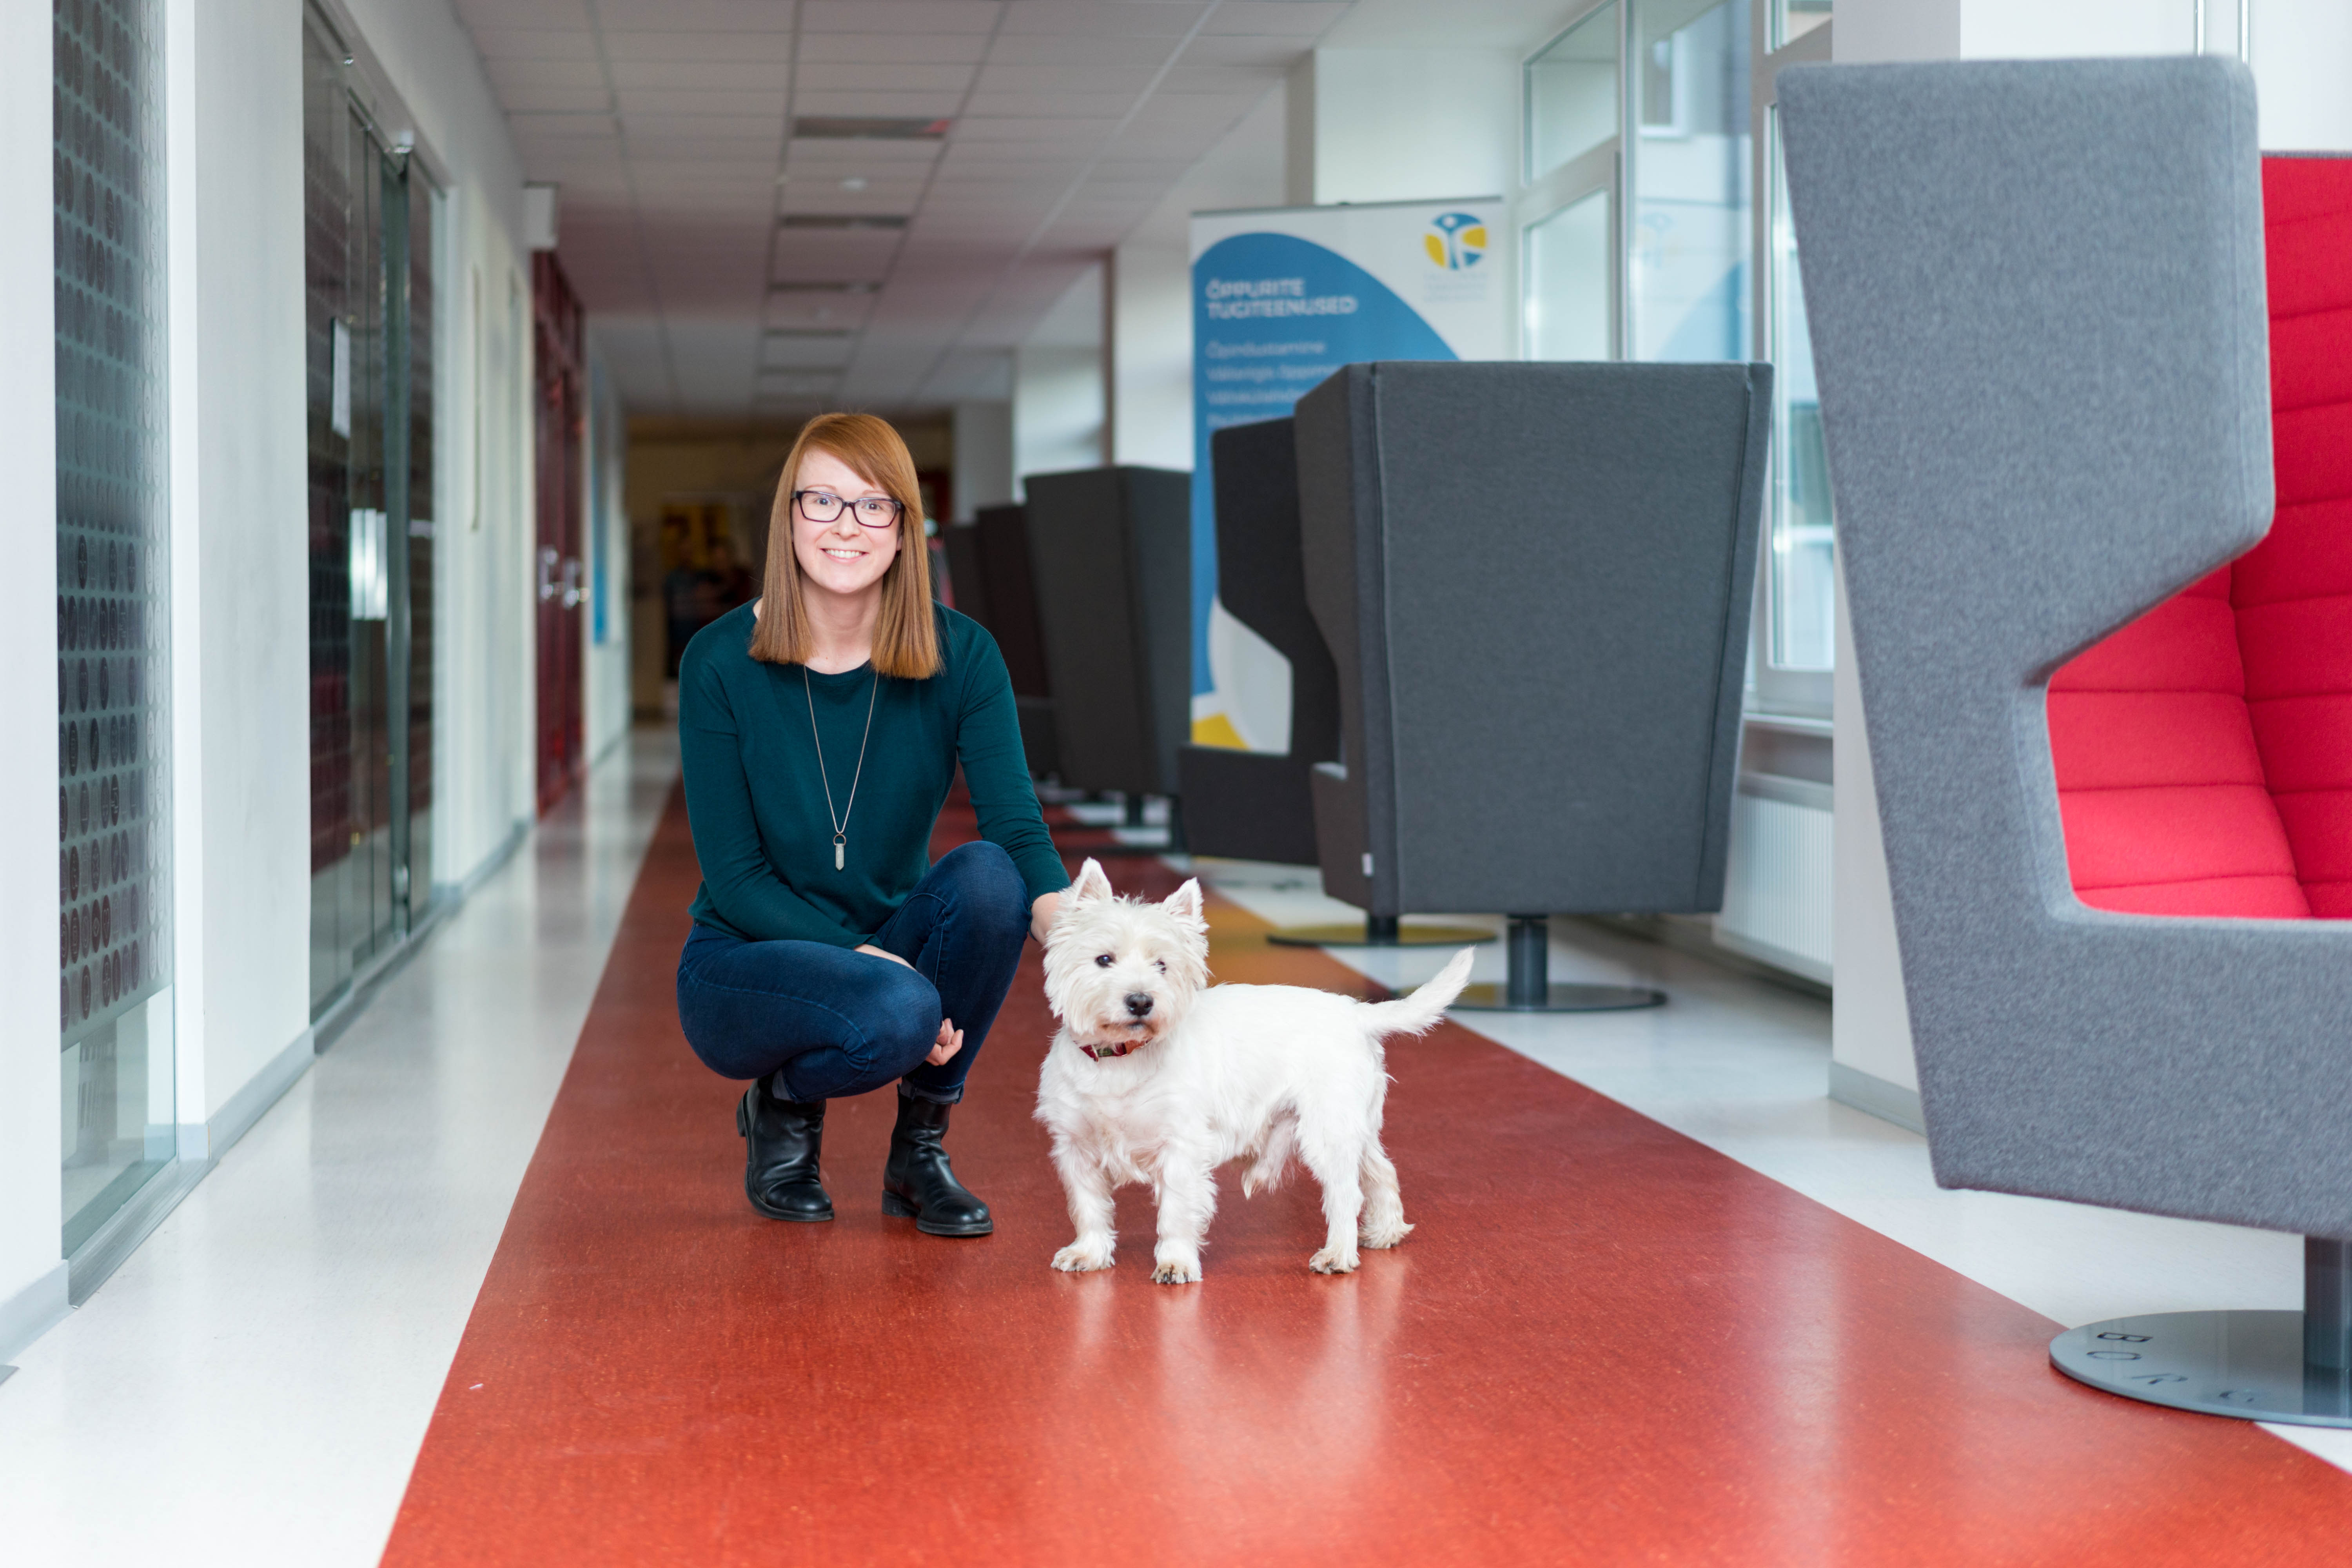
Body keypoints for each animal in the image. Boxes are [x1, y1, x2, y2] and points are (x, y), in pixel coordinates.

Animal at [1034, 858, 1475, 1283]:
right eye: (1103, 960)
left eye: (1162, 965)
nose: (1141, 1001)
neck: (1120, 1059)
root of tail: (1356, 1014)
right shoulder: (1077, 1148)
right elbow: (1089, 1206)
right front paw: (1089, 1253)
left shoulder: (1181, 1146)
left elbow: (1176, 1211)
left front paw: (1176, 1263)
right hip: (1352, 1123)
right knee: (1380, 1171)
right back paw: (1385, 1232)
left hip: (1326, 1129)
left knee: (1346, 1193)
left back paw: (1338, 1254)